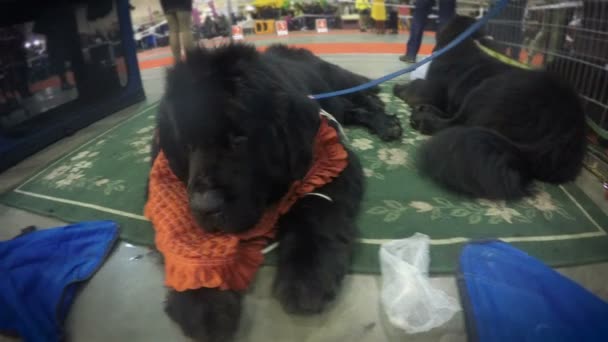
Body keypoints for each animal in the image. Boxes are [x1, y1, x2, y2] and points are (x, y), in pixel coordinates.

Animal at [152, 44, 400, 340]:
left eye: (239, 138)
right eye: (186, 144)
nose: (205, 206)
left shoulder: (329, 159)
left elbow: (313, 211)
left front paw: (306, 274)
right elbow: (187, 241)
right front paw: (202, 300)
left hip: (339, 82)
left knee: (364, 97)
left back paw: (387, 122)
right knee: (354, 109)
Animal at [392, 16, 588, 199]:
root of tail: (561, 135)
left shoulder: (433, 85)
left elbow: (417, 87)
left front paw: (400, 88)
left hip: (486, 90)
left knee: (456, 122)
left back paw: (422, 118)